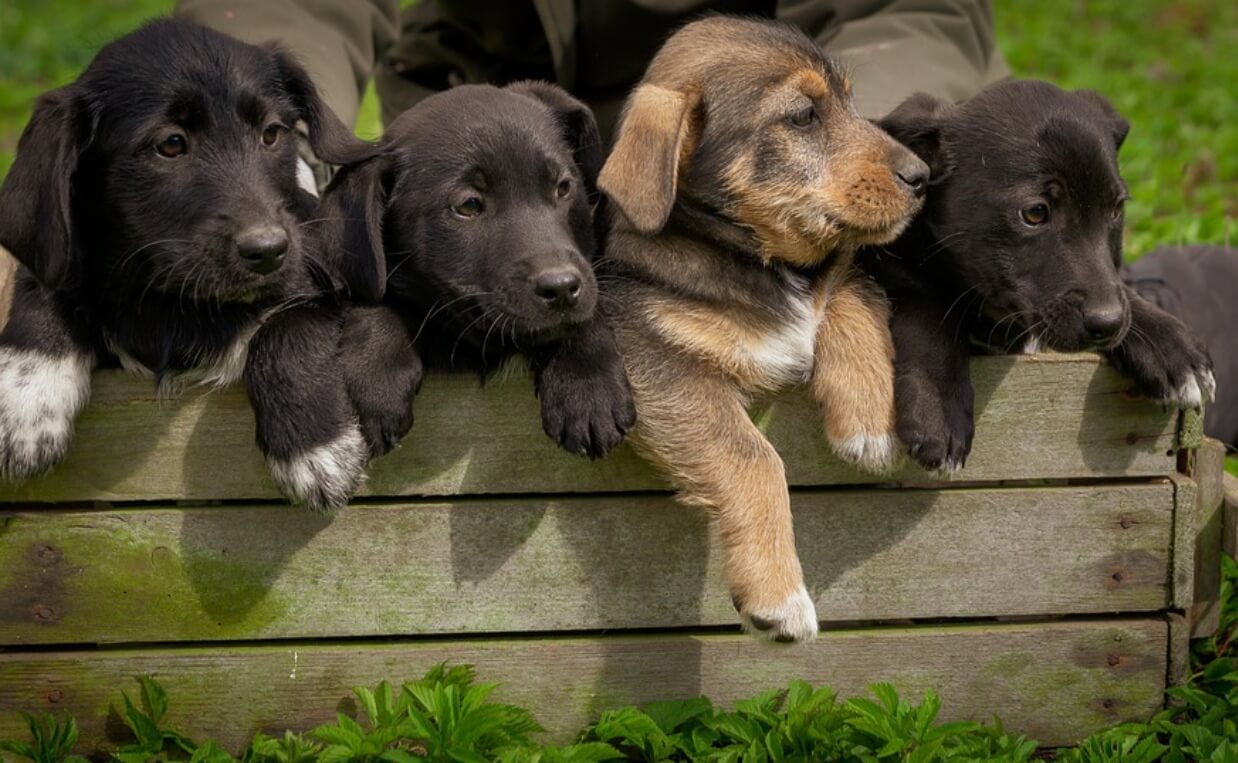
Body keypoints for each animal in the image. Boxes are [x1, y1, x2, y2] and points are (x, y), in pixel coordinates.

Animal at [0, 19, 381, 500]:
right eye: (171, 144)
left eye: (271, 134)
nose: (269, 252)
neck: (177, 304)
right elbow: (43, 286)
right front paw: (25, 404)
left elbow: (287, 326)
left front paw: (316, 449)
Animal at [319, 81, 633, 458]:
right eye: (469, 205)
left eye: (563, 188)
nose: (560, 288)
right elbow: (378, 298)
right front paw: (375, 373)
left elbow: (586, 310)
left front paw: (586, 384)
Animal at [599, 16, 930, 644]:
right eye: (802, 117)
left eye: (851, 102)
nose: (924, 176)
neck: (755, 261)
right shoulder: (649, 359)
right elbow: (753, 456)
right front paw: (779, 599)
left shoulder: (835, 277)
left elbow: (846, 295)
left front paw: (869, 424)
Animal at [866, 80, 1213, 468]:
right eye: (1034, 213)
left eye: (1116, 209)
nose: (1108, 323)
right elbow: (926, 304)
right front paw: (937, 403)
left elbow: (1120, 287)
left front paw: (1168, 343)